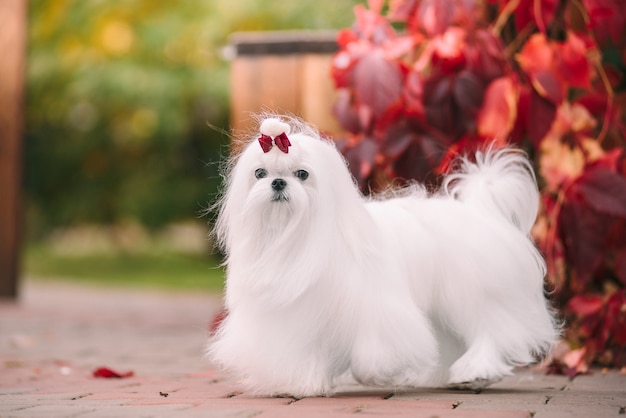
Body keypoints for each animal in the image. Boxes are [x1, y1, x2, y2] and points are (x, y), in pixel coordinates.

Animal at [207, 116, 560, 396]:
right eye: (260, 173)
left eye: (303, 174)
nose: (278, 182)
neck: (298, 240)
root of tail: (481, 212)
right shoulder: (299, 316)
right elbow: (304, 351)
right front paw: (302, 383)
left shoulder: (379, 311)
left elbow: (375, 350)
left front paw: (379, 374)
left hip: (475, 294)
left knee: (492, 328)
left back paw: (477, 369)